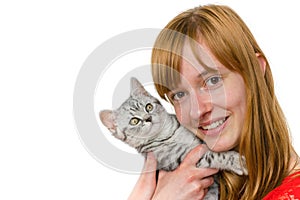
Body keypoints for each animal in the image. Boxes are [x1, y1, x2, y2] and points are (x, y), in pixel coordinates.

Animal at [99, 77, 247, 199]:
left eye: (149, 107)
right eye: (134, 121)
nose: (148, 118)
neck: (169, 134)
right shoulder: (181, 159)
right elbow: (215, 155)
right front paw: (237, 161)